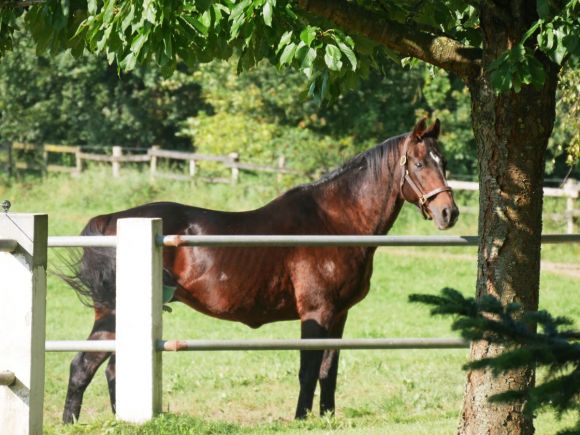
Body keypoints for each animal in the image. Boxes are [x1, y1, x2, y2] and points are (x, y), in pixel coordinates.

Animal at [62, 118, 458, 422]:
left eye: (444, 162)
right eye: (420, 164)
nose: (448, 213)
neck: (335, 222)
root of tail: (111, 221)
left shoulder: (339, 315)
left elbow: (328, 370)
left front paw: (327, 417)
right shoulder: (317, 312)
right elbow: (308, 369)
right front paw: (301, 419)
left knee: (108, 369)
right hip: (114, 316)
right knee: (84, 367)